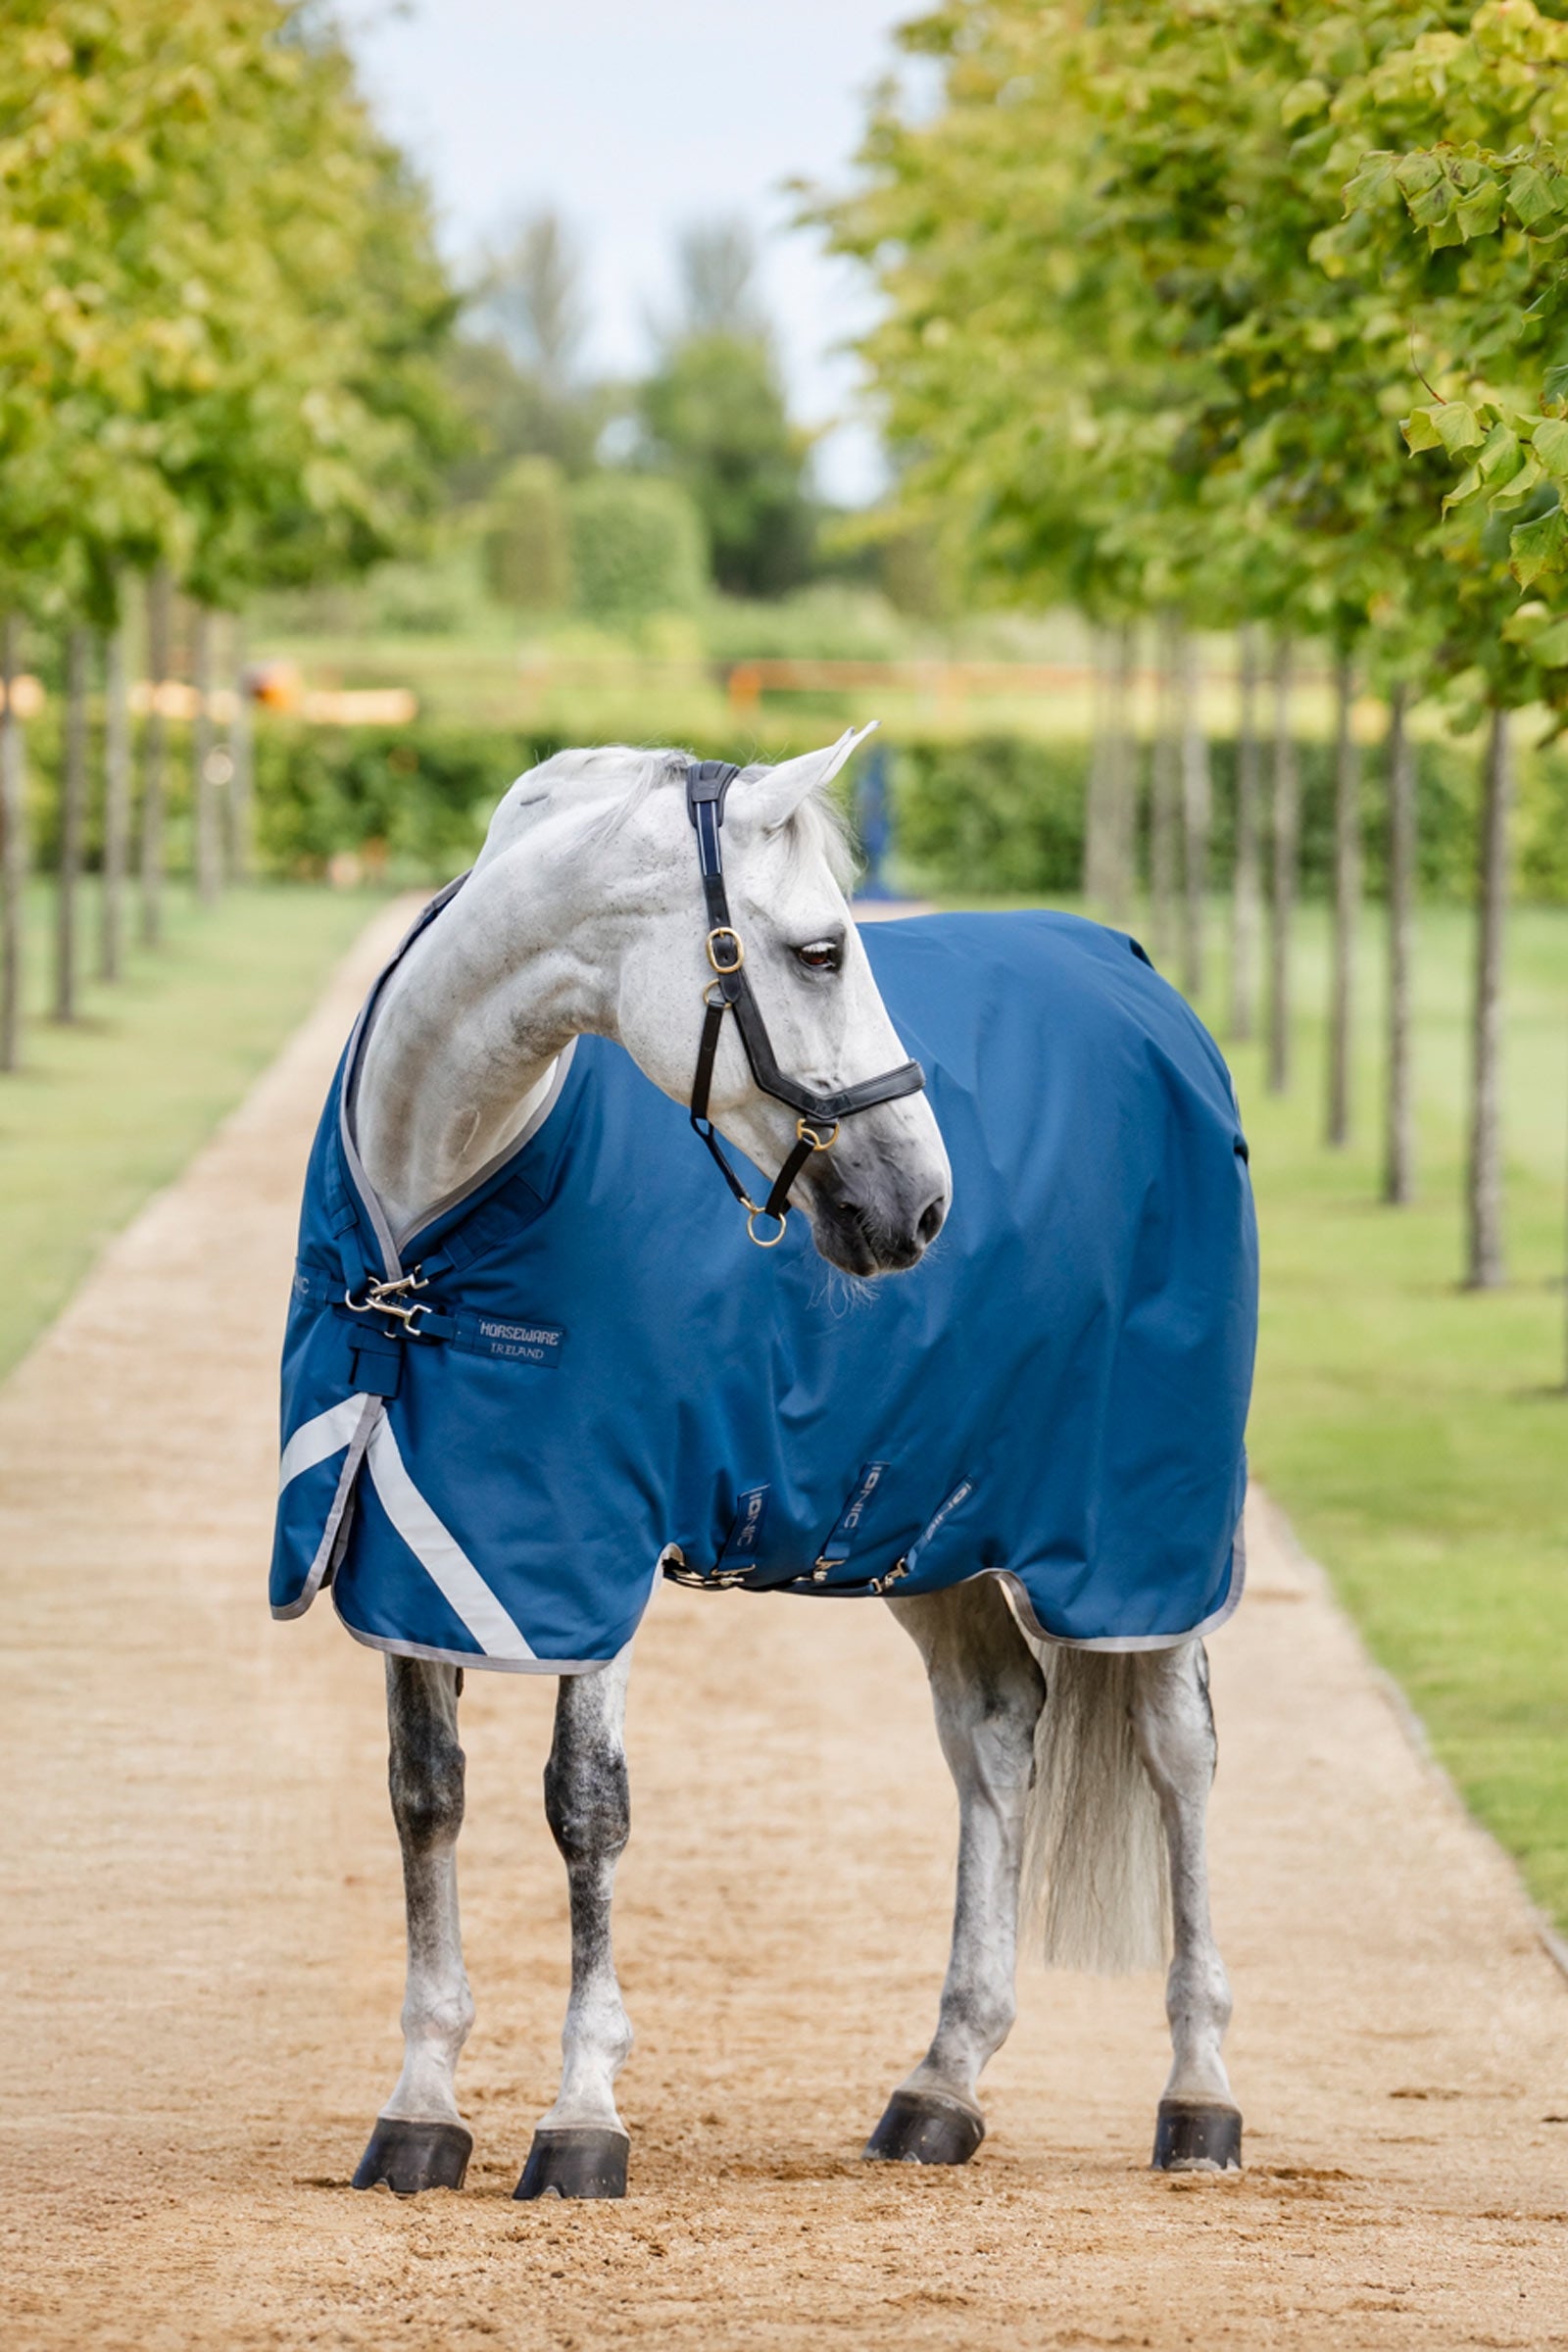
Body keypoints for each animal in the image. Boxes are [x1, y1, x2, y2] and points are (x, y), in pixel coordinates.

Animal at [271, 729, 1256, 2200]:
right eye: (822, 952)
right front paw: (421, 2110)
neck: (431, 1225)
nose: (923, 1205)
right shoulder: (418, 1544)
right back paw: (941, 2085)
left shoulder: (589, 1546)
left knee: (1178, 1752)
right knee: (995, 1730)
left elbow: (584, 1809)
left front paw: (581, 2116)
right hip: (929, 1523)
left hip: (1141, 1529)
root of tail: (1143, 986)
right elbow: (425, 1797)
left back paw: (1198, 2095)